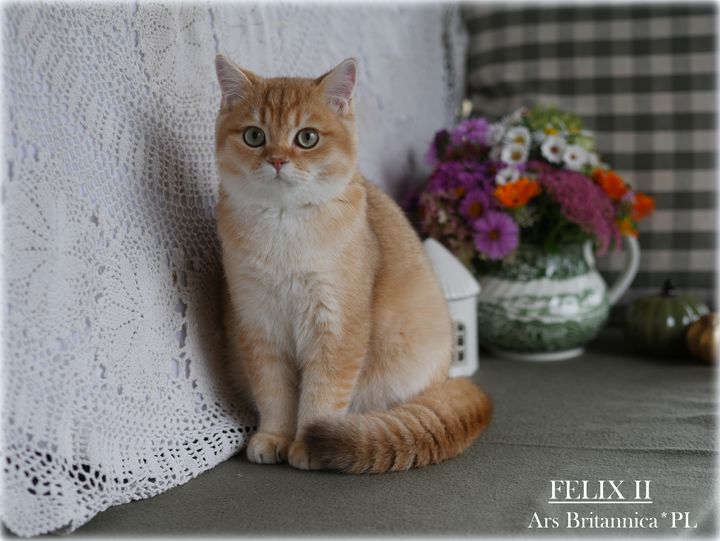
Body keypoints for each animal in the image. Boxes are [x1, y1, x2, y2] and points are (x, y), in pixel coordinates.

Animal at [214, 54, 491, 473]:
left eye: (307, 138)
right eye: (254, 136)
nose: (277, 160)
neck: (283, 225)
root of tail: (447, 378)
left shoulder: (337, 325)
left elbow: (322, 393)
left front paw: (306, 442)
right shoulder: (258, 324)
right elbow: (273, 392)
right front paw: (274, 437)